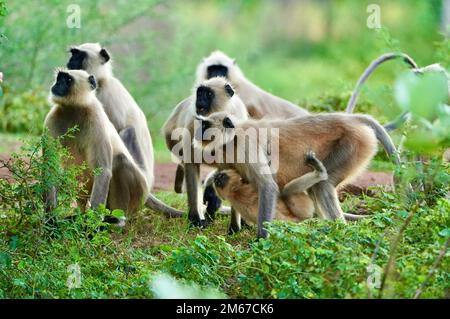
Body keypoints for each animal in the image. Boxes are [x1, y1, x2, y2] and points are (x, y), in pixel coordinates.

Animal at [44, 69, 147, 222]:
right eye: (59, 78)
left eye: (68, 80)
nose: (57, 85)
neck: (73, 109)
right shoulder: (51, 120)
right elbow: (50, 168)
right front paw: (50, 219)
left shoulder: (96, 118)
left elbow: (103, 171)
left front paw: (90, 223)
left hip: (139, 193)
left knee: (120, 161)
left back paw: (116, 220)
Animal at [66, 42, 182, 218]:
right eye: (73, 54)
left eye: (79, 55)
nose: (70, 61)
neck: (102, 81)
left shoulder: (101, 99)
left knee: (126, 133)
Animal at [192, 111, 398, 239]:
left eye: (206, 125)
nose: (198, 131)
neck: (232, 138)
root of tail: (351, 119)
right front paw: (233, 229)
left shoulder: (245, 144)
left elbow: (267, 186)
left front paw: (260, 240)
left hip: (353, 145)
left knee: (322, 185)